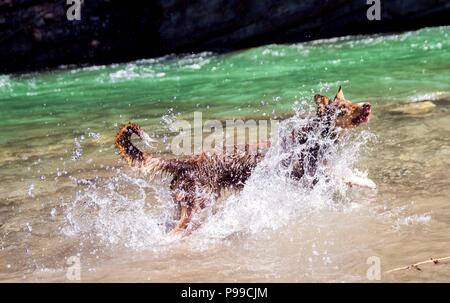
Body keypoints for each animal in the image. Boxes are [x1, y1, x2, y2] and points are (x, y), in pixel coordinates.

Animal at [115, 87, 372, 235]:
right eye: (343, 108)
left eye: (352, 101)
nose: (367, 105)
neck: (313, 135)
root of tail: (186, 162)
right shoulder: (311, 175)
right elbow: (344, 178)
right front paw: (366, 184)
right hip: (198, 208)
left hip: (183, 207)